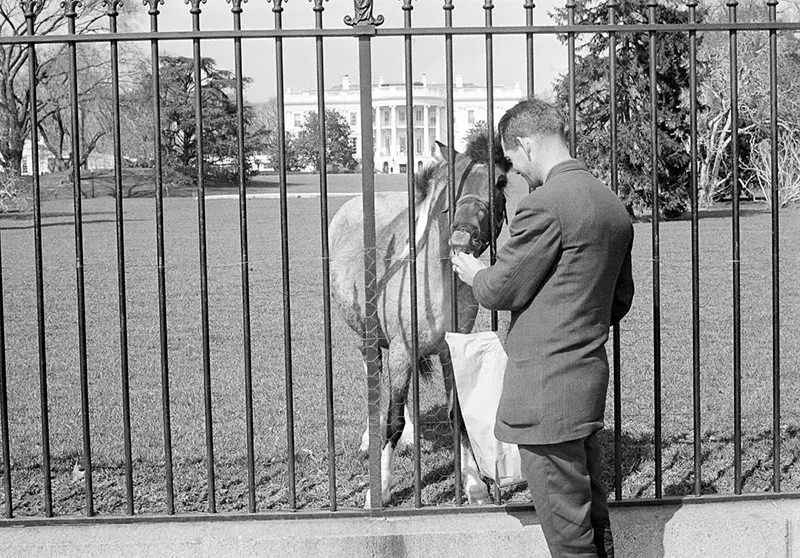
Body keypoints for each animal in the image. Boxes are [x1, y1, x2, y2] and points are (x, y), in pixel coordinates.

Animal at [328, 132, 510, 508]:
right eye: (453, 182)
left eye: (500, 181)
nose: (462, 236)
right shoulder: (400, 351)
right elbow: (392, 421)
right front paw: (380, 488)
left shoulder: (451, 351)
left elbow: (459, 416)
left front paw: (474, 484)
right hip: (370, 339)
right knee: (374, 381)